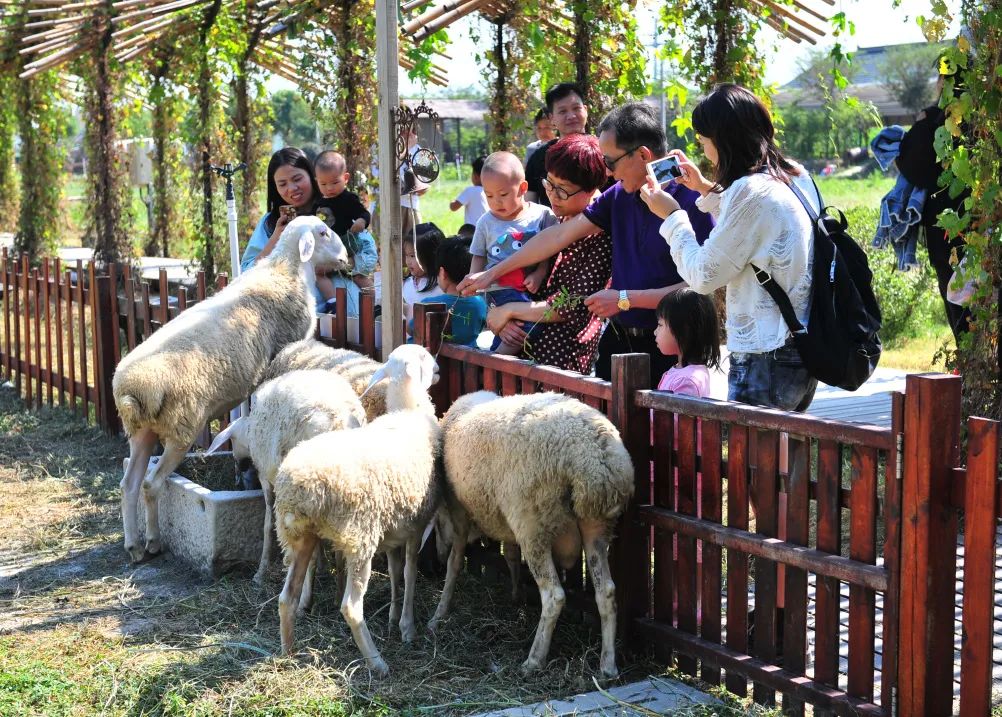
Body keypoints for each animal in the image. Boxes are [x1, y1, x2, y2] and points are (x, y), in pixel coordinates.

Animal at [112, 215, 348, 564]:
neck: (287, 269)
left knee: (129, 485)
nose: (345, 258)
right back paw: (152, 542)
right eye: (323, 232)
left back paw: (134, 546)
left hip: (142, 432)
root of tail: (131, 392)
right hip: (181, 426)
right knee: (150, 485)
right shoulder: (283, 349)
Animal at [202, 370, 364, 592]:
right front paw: (323, 565)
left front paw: (260, 572)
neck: (249, 430)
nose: (241, 468)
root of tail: (340, 421)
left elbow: (268, 523)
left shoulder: (266, 479)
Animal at [270, 344, 438, 676]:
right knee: (350, 606)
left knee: (287, 597)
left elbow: (396, 572)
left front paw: (394, 617)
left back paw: (287, 651)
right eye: (424, 356)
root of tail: (299, 486)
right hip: (359, 537)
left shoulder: (396, 525)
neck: (409, 409)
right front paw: (407, 627)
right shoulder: (417, 522)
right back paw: (377, 662)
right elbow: (411, 572)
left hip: (299, 535)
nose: (438, 369)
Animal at [430, 392, 633, 676]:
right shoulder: (506, 518)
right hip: (596, 525)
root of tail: (594, 458)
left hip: (533, 525)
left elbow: (456, 562)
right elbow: (511, 555)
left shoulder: (460, 511)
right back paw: (608, 665)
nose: (436, 558)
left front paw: (440, 611)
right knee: (607, 592)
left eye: (437, 524)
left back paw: (534, 660)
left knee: (554, 596)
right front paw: (516, 595)